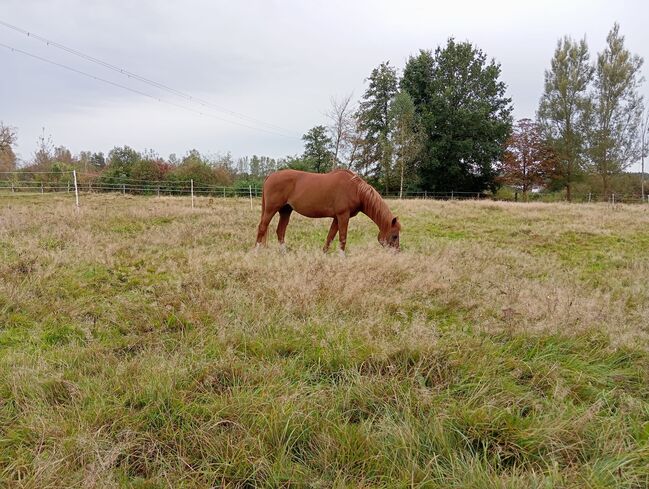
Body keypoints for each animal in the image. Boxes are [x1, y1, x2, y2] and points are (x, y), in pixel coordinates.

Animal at [254, 168, 400, 252]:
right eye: (395, 235)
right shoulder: (343, 216)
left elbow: (330, 236)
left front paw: (324, 253)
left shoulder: (337, 217)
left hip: (285, 211)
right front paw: (342, 258)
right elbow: (342, 237)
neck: (356, 190)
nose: (396, 252)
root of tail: (270, 176)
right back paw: (256, 251)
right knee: (262, 227)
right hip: (271, 209)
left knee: (280, 231)